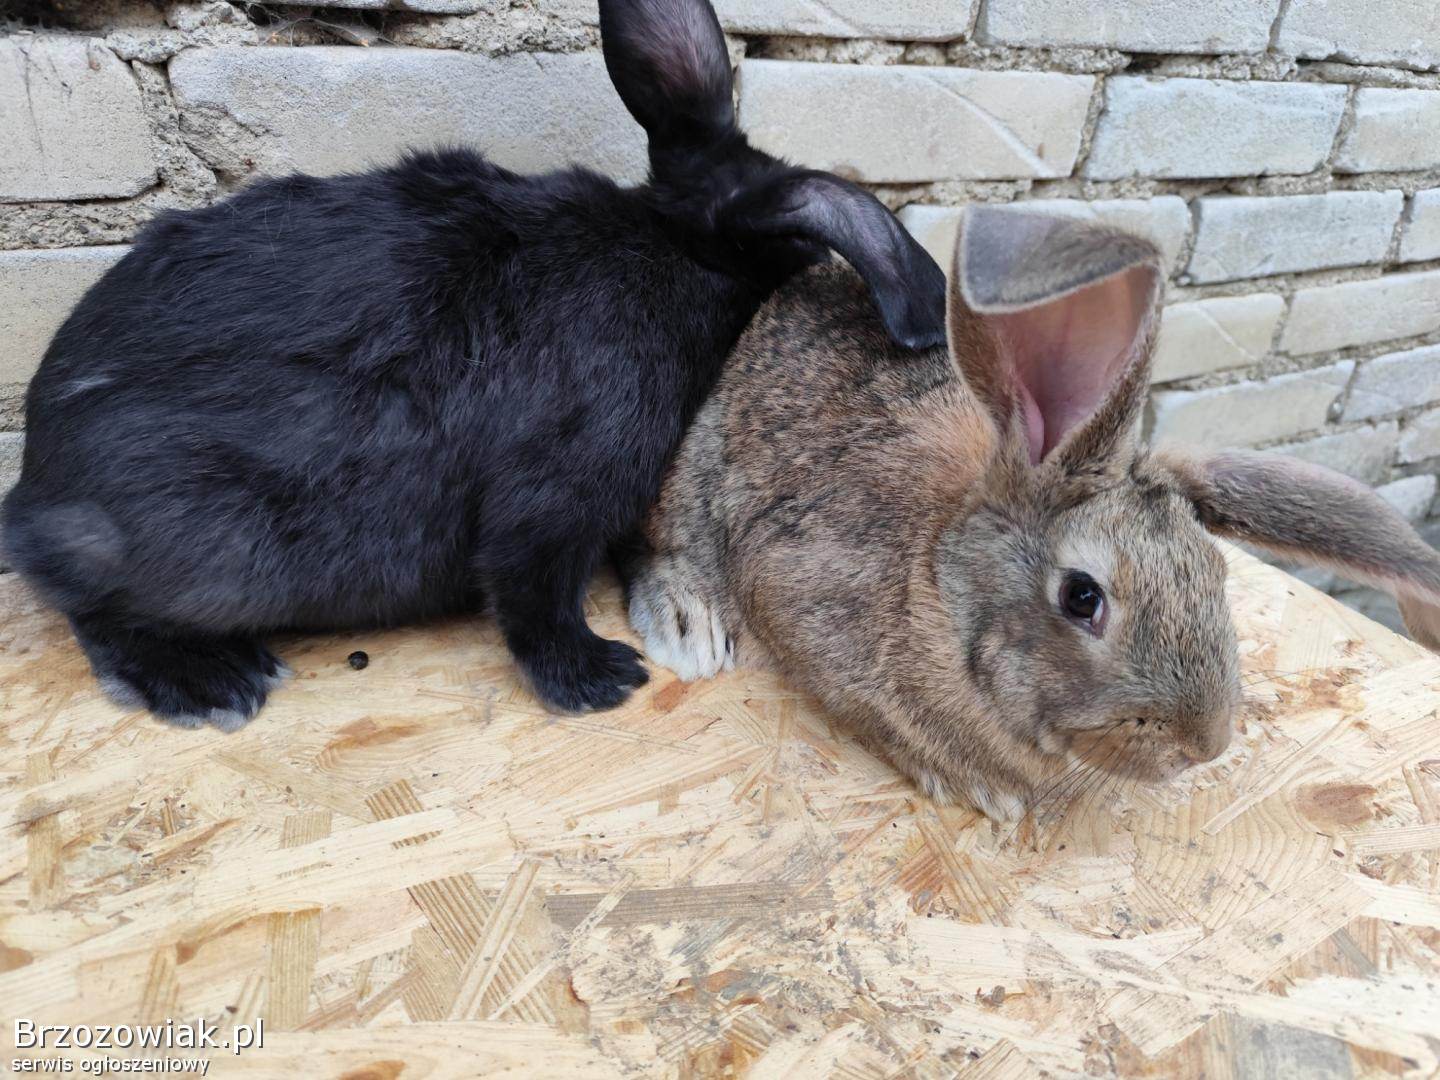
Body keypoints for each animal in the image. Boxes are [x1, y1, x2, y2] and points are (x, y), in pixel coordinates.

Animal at [0, 0, 946, 730]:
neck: (672, 246)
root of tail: (32, 493)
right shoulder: (560, 488)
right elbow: (532, 591)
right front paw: (600, 680)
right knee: (100, 615)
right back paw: (214, 684)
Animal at [625, 206, 1440, 822]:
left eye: (1217, 569)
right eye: (1083, 599)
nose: (1203, 746)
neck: (937, 584)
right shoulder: (800, 594)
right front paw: (979, 785)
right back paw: (689, 626)